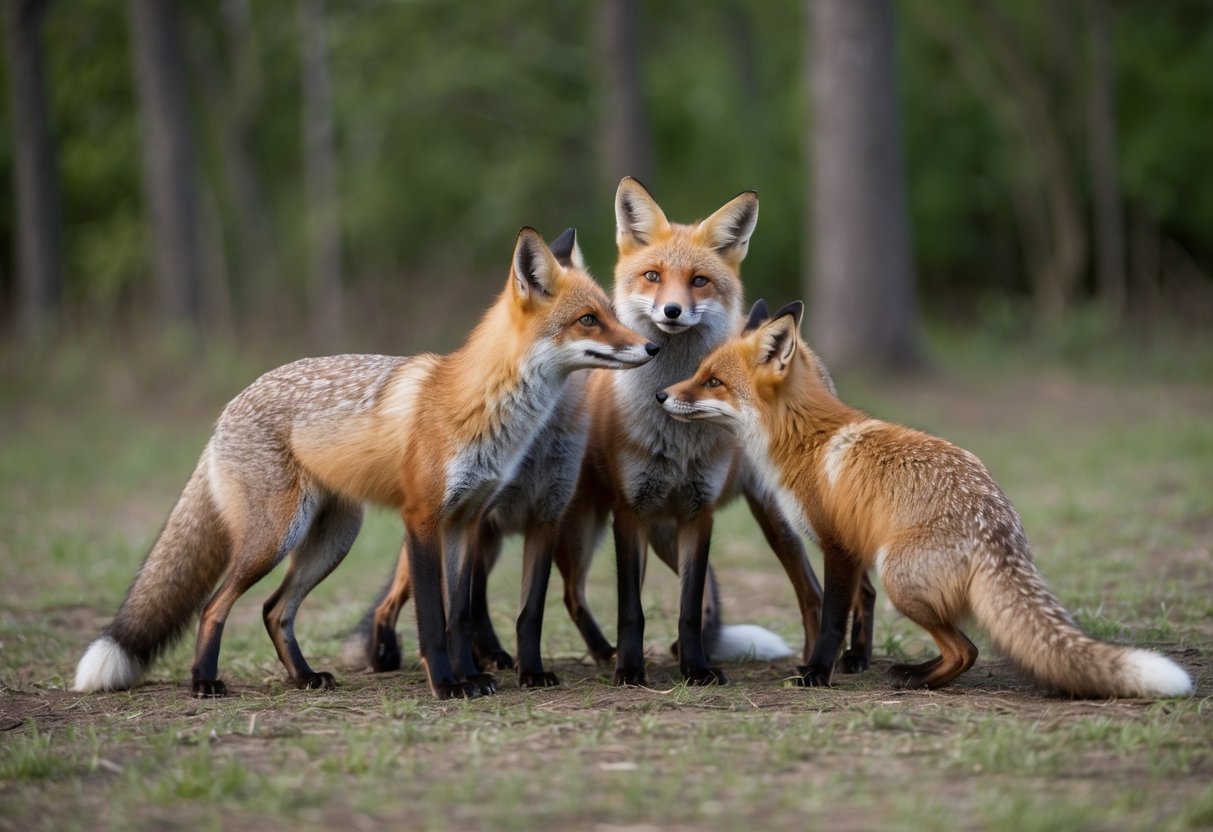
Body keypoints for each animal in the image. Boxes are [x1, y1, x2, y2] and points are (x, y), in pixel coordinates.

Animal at [73, 227, 658, 700]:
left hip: (332, 539)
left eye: (610, 312)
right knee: (215, 606)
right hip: (275, 538)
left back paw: (304, 678)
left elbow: (461, 616)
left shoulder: (467, 522)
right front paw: (447, 685)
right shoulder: (422, 518)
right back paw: (204, 682)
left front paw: (473, 677)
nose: (652, 347)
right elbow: (432, 617)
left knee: (273, 610)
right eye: (589, 320)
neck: (485, 411)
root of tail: (230, 406)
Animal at [658, 299, 1194, 697]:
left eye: (713, 381)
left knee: (967, 650)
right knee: (963, 646)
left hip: (899, 577)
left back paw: (916, 680)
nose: (662, 396)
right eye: (700, 371)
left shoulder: (840, 547)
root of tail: (1000, 532)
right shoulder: (849, 546)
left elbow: (831, 620)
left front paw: (816, 674)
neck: (805, 439)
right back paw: (913, 672)